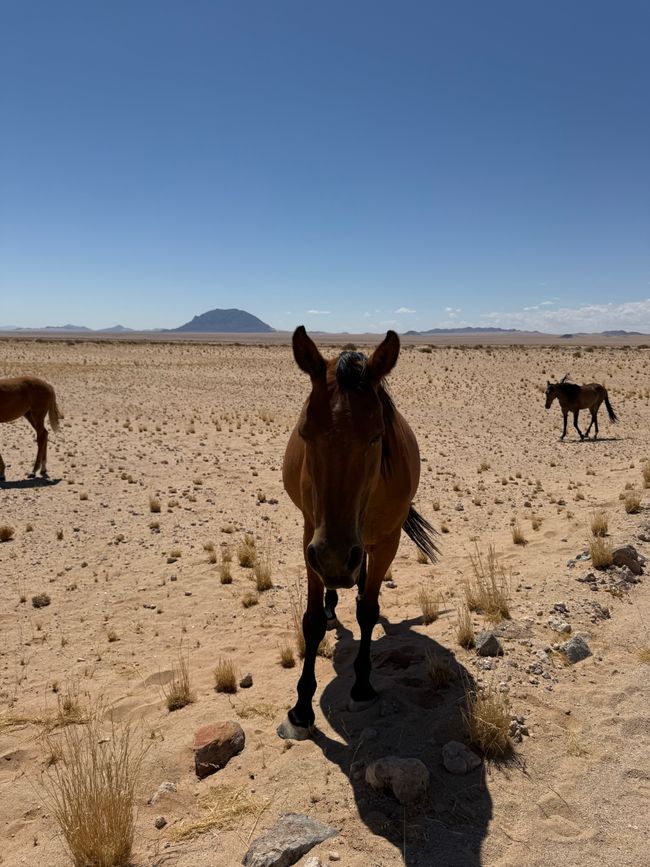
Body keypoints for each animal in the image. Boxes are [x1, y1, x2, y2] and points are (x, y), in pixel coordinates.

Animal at [277, 326, 437, 741]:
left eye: (376, 436)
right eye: (305, 433)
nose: (334, 559)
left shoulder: (387, 541)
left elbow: (368, 610)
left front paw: (363, 686)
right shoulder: (311, 538)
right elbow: (312, 622)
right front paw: (301, 709)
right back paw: (334, 602)